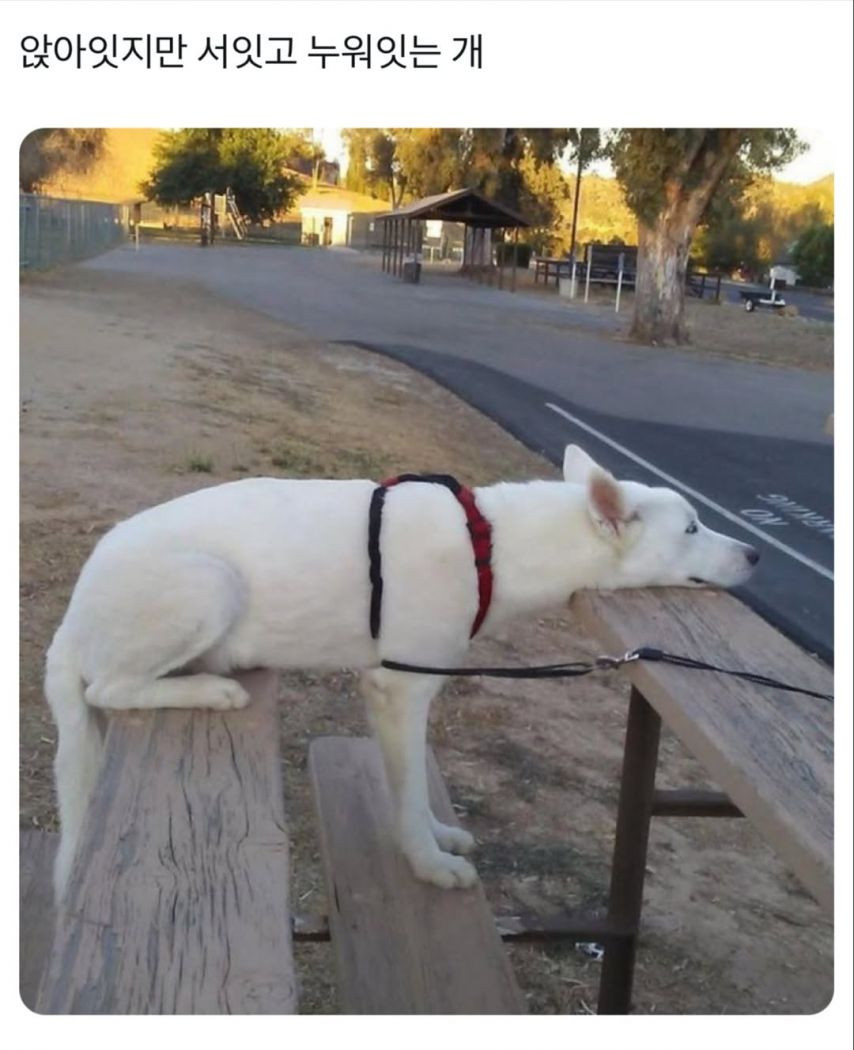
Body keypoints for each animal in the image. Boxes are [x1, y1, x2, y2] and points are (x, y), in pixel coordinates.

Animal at [45, 444, 758, 899]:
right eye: (693, 528)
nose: (755, 554)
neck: (490, 545)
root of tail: (70, 619)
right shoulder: (401, 689)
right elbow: (412, 791)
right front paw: (428, 863)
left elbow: (407, 788)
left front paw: (434, 838)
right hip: (211, 584)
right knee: (110, 686)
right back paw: (211, 688)